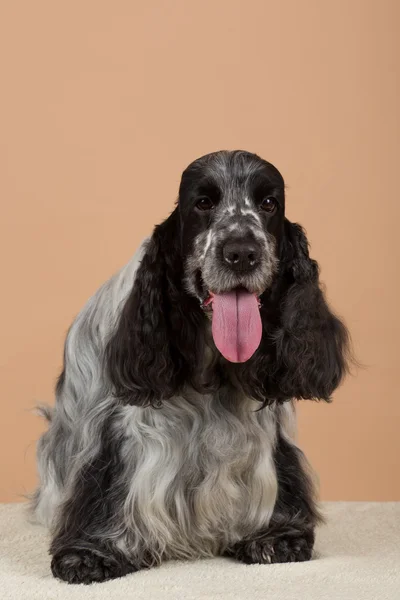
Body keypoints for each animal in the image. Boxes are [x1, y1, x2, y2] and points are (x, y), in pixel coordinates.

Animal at [31, 151, 350, 584]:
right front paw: (90, 554)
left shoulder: (268, 441)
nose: (242, 252)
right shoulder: (125, 433)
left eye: (269, 204)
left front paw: (277, 536)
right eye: (203, 203)